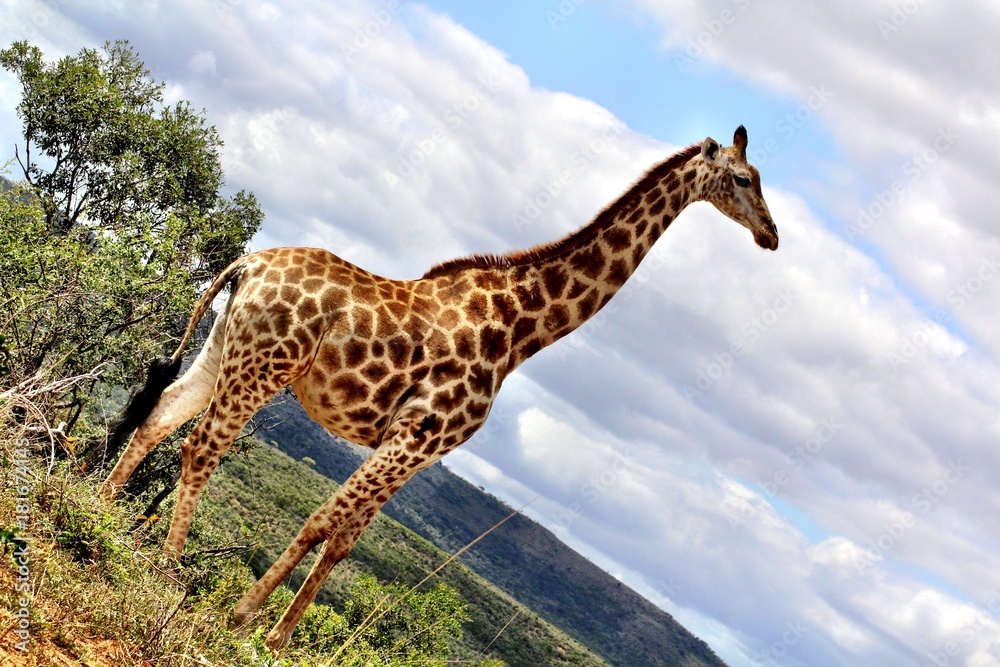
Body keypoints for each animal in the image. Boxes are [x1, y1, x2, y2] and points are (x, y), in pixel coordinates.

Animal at [103, 125, 777, 651]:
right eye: (744, 179)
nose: (771, 235)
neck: (520, 331)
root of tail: (247, 264)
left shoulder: (421, 448)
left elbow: (344, 542)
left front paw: (277, 638)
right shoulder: (417, 431)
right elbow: (322, 523)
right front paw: (242, 618)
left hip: (226, 347)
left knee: (161, 414)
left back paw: (100, 508)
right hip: (266, 364)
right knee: (201, 447)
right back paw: (165, 568)